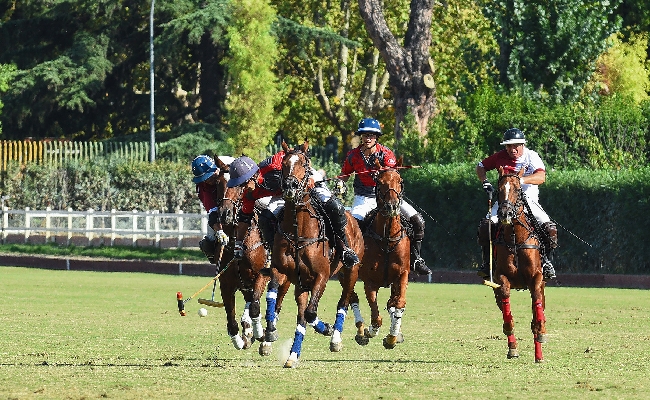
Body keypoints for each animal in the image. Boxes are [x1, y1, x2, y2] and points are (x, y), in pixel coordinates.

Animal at [266, 141, 362, 368]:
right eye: (284, 163)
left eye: (304, 163)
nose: (290, 187)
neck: (298, 230)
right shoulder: (284, 272)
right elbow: (276, 293)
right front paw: (272, 332)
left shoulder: (322, 276)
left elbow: (311, 312)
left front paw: (326, 329)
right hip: (305, 283)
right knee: (302, 315)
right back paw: (293, 355)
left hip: (350, 271)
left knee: (343, 301)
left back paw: (335, 338)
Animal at [352, 158, 408, 348]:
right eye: (380, 182)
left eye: (400, 181)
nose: (392, 206)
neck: (387, 238)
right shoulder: (369, 280)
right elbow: (376, 316)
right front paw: (371, 331)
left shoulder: (402, 274)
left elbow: (398, 303)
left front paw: (392, 337)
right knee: (351, 297)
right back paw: (361, 331)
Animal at [492, 166, 548, 362]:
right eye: (498, 189)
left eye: (517, 189)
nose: (505, 214)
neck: (516, 239)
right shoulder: (501, 278)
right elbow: (508, 315)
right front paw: (512, 348)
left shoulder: (536, 278)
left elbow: (537, 312)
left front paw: (541, 335)